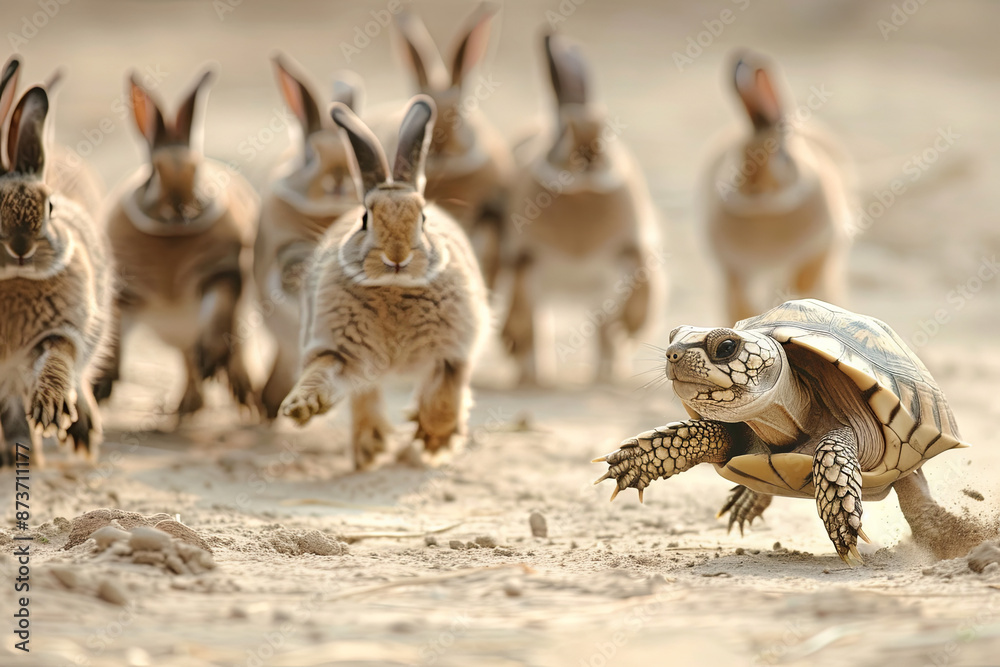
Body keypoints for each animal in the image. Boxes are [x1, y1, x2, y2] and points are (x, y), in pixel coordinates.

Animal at [0, 83, 113, 467]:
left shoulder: (62, 329)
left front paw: (51, 412)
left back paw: (83, 433)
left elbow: (57, 361)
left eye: (50, 207)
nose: (21, 249)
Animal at [94, 68, 260, 421]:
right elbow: (114, 335)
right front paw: (99, 387)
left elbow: (218, 314)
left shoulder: (221, 273)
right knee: (187, 362)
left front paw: (211, 362)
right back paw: (185, 406)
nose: (180, 211)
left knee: (232, 353)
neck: (171, 235)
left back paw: (245, 397)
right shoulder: (125, 291)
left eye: (196, 170)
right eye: (154, 172)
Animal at [280, 95, 489, 471]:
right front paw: (300, 408)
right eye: (365, 218)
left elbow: (445, 395)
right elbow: (320, 375)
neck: (396, 289)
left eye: (423, 218)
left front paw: (434, 439)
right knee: (366, 392)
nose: (397, 257)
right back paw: (369, 448)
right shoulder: (337, 350)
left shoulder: (455, 352)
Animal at [501, 33, 662, 386]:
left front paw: (631, 328)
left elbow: (642, 287)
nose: (589, 153)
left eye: (605, 125)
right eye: (562, 129)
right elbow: (520, 305)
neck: (582, 192)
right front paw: (513, 340)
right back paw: (533, 376)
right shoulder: (524, 255)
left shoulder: (631, 248)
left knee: (603, 331)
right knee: (535, 325)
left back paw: (607, 374)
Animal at [701, 49, 853, 324]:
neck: (765, 212)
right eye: (737, 156)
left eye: (783, 156)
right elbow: (740, 298)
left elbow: (803, 280)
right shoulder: (734, 267)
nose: (753, 190)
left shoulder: (822, 243)